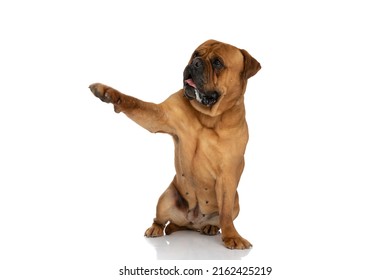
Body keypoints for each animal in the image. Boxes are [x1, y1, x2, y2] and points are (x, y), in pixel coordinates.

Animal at [89, 40, 260, 249]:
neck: (209, 117)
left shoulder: (228, 175)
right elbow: (133, 102)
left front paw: (232, 236)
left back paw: (210, 227)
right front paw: (107, 92)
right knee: (161, 219)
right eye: (196, 53)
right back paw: (155, 229)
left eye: (217, 62)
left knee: (221, 217)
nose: (195, 63)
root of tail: (192, 223)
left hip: (236, 201)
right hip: (166, 198)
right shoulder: (160, 115)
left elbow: (225, 213)